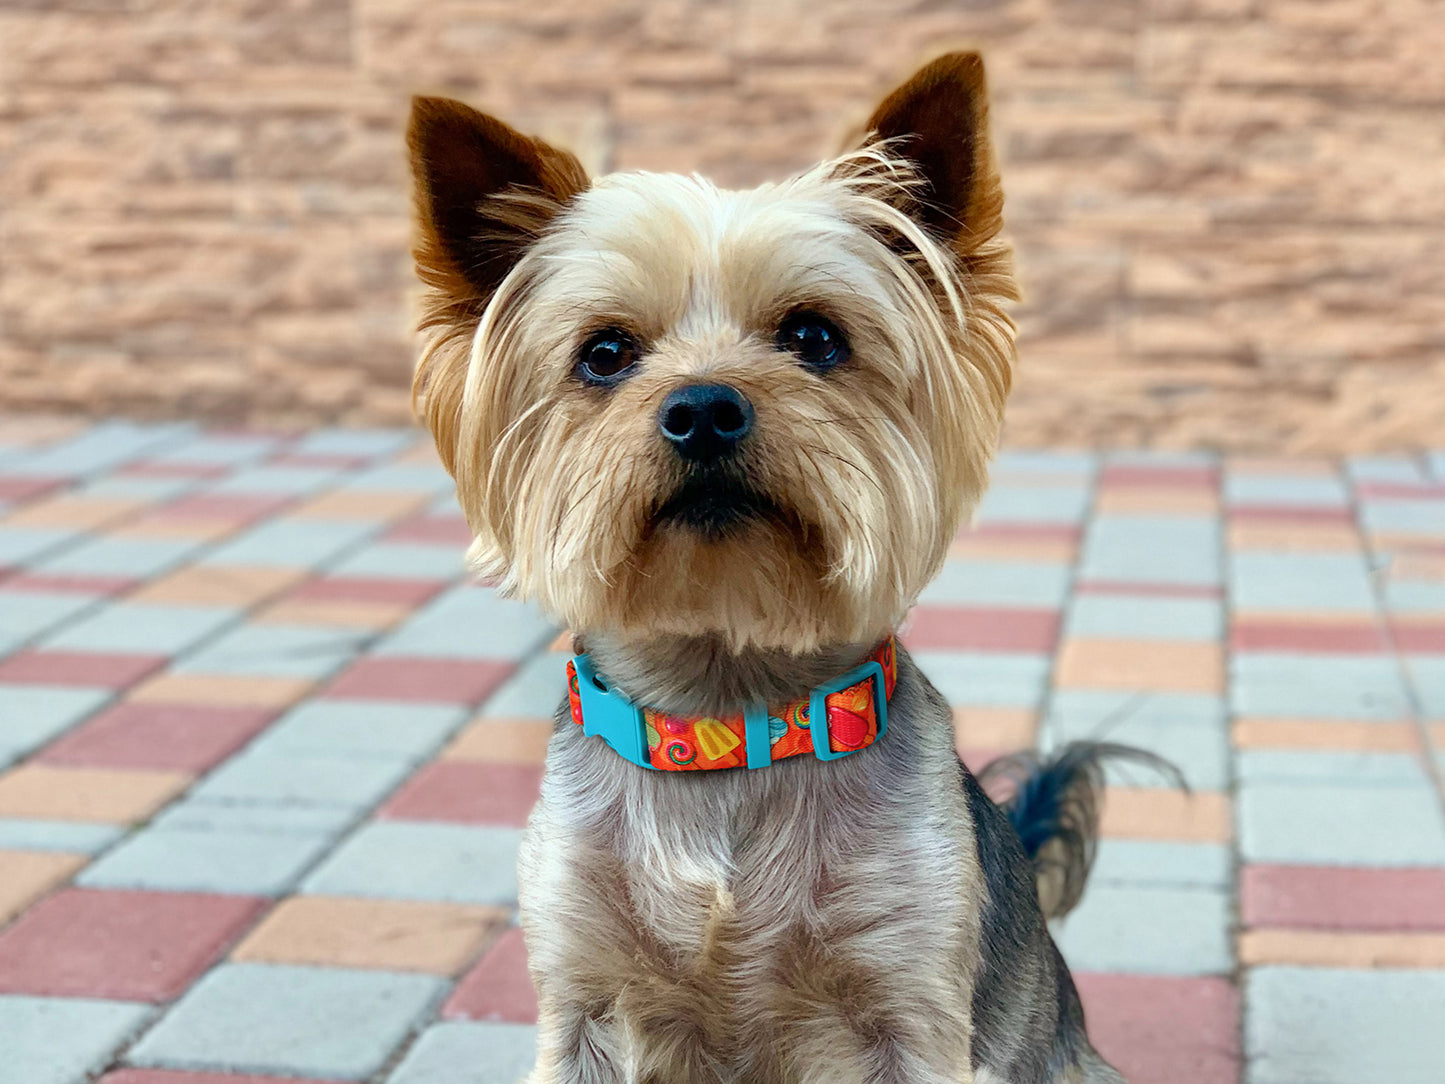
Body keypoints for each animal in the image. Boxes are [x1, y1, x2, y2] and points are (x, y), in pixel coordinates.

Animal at [410, 48, 1138, 1084]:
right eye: (604, 353)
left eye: (814, 336)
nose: (704, 408)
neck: (732, 720)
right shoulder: (580, 986)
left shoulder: (908, 995)